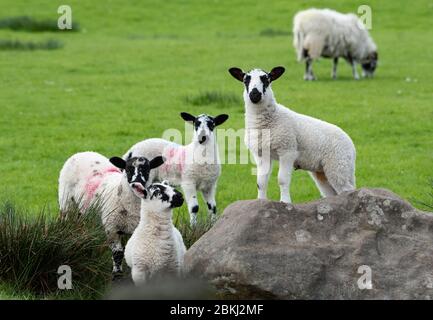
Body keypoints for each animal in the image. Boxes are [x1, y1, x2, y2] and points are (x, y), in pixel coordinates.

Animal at [228, 66, 356, 204]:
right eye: (245, 80)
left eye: (267, 79)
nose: (255, 94)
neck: (267, 123)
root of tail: (352, 147)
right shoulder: (261, 154)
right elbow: (261, 182)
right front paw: (260, 201)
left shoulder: (287, 150)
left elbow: (282, 180)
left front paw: (285, 201)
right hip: (323, 171)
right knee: (332, 193)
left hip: (338, 165)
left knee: (347, 189)